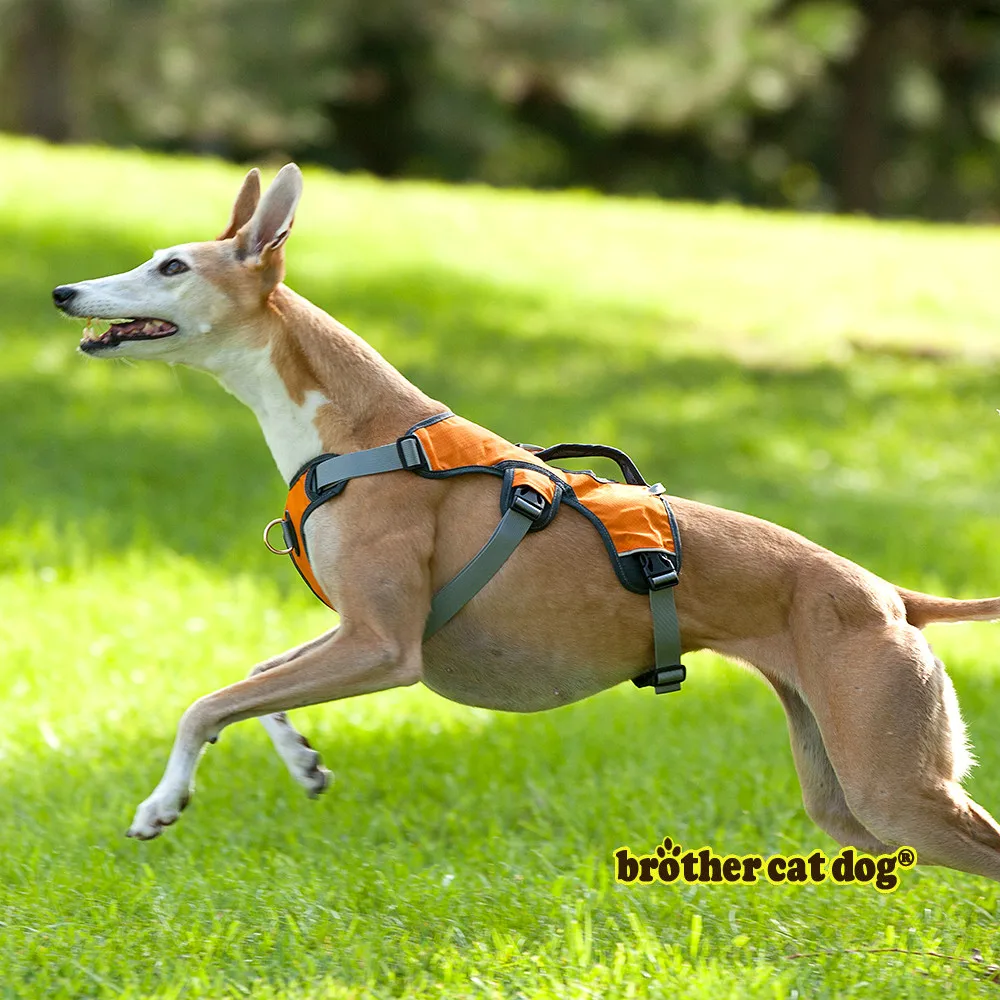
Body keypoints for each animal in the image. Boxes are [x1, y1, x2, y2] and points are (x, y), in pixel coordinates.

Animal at [56, 168, 1000, 880]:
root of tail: (890, 596)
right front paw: (304, 759)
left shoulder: (381, 646)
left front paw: (160, 804)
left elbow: (204, 705)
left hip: (890, 785)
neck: (360, 433)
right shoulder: (351, 633)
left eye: (171, 266)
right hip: (843, 791)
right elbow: (256, 679)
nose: (65, 290)